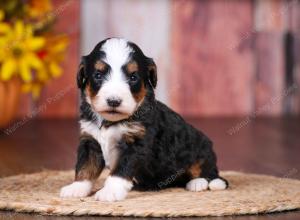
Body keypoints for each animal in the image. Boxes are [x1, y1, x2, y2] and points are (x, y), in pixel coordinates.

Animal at [59, 37, 227, 201]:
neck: (111, 121)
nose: (114, 101)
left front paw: (110, 192)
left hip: (201, 147)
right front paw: (76, 188)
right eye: (98, 75)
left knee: (209, 172)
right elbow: (85, 166)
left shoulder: (136, 143)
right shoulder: (90, 140)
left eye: (133, 77)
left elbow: (120, 170)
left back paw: (199, 183)